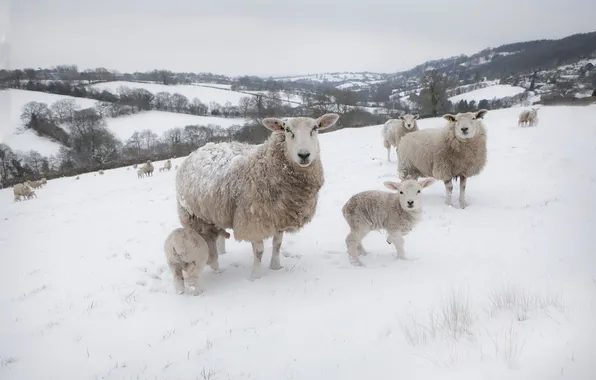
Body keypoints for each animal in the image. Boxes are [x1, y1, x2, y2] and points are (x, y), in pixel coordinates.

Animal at [175, 113, 338, 280]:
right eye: (287, 129)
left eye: (315, 128)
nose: (304, 155)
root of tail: (202, 147)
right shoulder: (253, 221)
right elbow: (259, 251)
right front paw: (255, 276)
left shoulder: (280, 217)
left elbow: (277, 244)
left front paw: (276, 267)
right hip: (192, 215)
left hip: (216, 210)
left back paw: (222, 252)